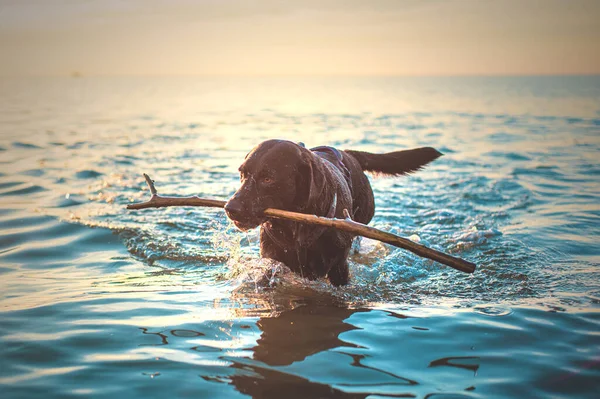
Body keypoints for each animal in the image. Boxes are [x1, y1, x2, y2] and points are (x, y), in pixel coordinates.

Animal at [225, 139, 440, 286]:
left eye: (268, 178)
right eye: (242, 173)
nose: (230, 208)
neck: (297, 226)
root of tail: (348, 154)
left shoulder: (338, 267)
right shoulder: (273, 260)